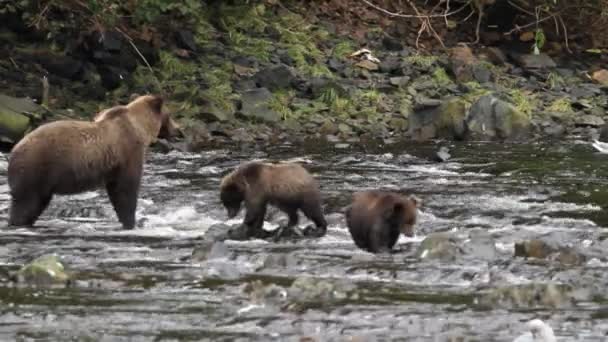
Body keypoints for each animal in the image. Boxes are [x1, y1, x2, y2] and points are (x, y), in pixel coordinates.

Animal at [7, 93, 179, 228]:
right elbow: (125, 190)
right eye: (169, 115)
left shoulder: (113, 167)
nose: (178, 130)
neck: (141, 129)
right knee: (26, 203)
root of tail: (15, 148)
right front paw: (130, 221)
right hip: (36, 168)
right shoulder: (128, 153)